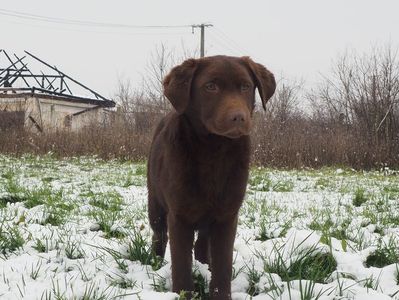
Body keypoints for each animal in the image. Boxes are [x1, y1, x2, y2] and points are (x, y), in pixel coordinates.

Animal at [148, 55, 276, 298]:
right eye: (210, 87)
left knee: (202, 244)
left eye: (245, 86)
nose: (239, 118)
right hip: (155, 204)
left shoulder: (227, 216)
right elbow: (181, 266)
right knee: (159, 235)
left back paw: (203, 265)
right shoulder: (179, 216)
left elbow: (222, 266)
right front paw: (182, 293)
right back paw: (154, 264)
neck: (214, 151)